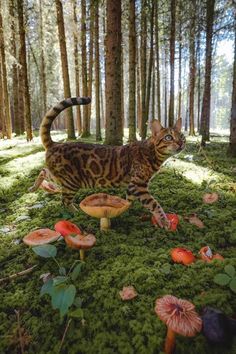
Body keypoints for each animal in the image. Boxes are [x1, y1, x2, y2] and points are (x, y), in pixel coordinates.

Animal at [28, 97, 185, 228]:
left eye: (182, 136)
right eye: (169, 137)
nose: (181, 144)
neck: (152, 153)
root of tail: (55, 144)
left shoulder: (132, 186)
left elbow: (129, 200)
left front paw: (126, 210)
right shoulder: (138, 185)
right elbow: (154, 204)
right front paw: (164, 221)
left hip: (61, 177)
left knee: (43, 171)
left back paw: (33, 188)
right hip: (72, 181)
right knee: (64, 200)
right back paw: (77, 212)